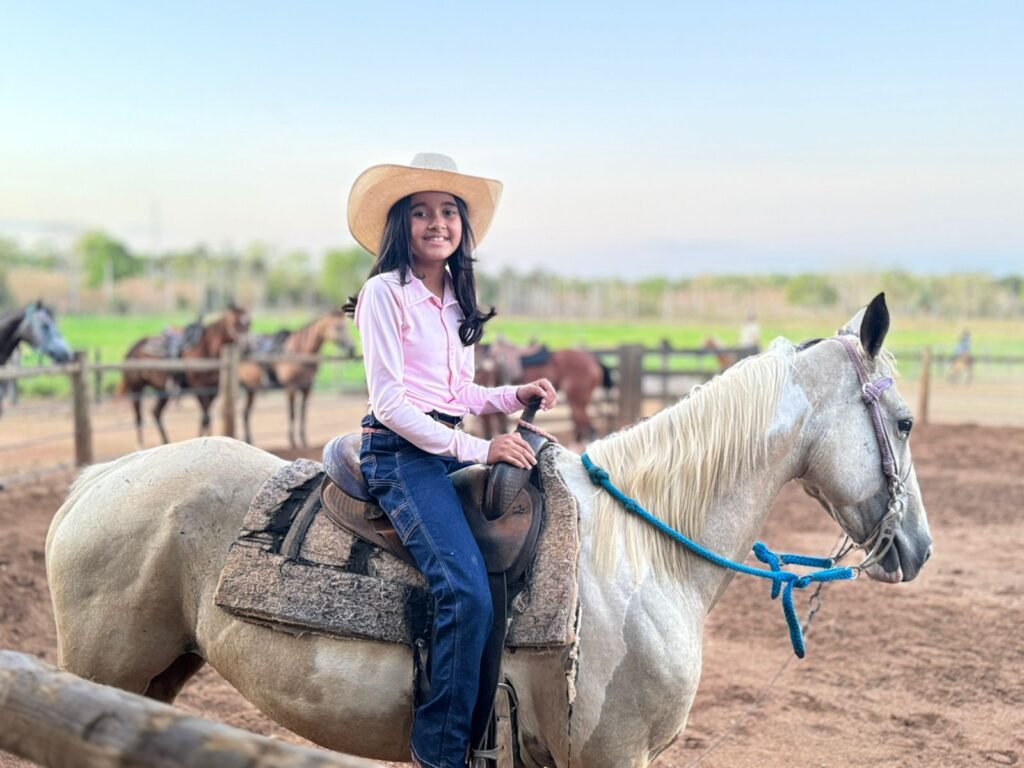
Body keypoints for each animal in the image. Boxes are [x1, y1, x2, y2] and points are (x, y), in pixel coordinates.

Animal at [119, 303, 251, 448]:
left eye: (249, 323)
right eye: (236, 323)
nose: (247, 347)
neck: (205, 349)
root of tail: (132, 348)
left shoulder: (213, 390)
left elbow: (206, 417)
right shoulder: (199, 388)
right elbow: (205, 417)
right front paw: (202, 438)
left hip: (163, 391)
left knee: (156, 412)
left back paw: (166, 441)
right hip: (136, 388)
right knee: (138, 416)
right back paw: (141, 444)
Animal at [238, 309, 358, 448]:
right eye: (338, 327)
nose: (352, 348)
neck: (299, 352)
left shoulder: (307, 388)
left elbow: (302, 413)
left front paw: (303, 440)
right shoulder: (291, 388)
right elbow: (292, 413)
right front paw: (293, 441)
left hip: (250, 390)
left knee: (245, 413)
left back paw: (249, 440)